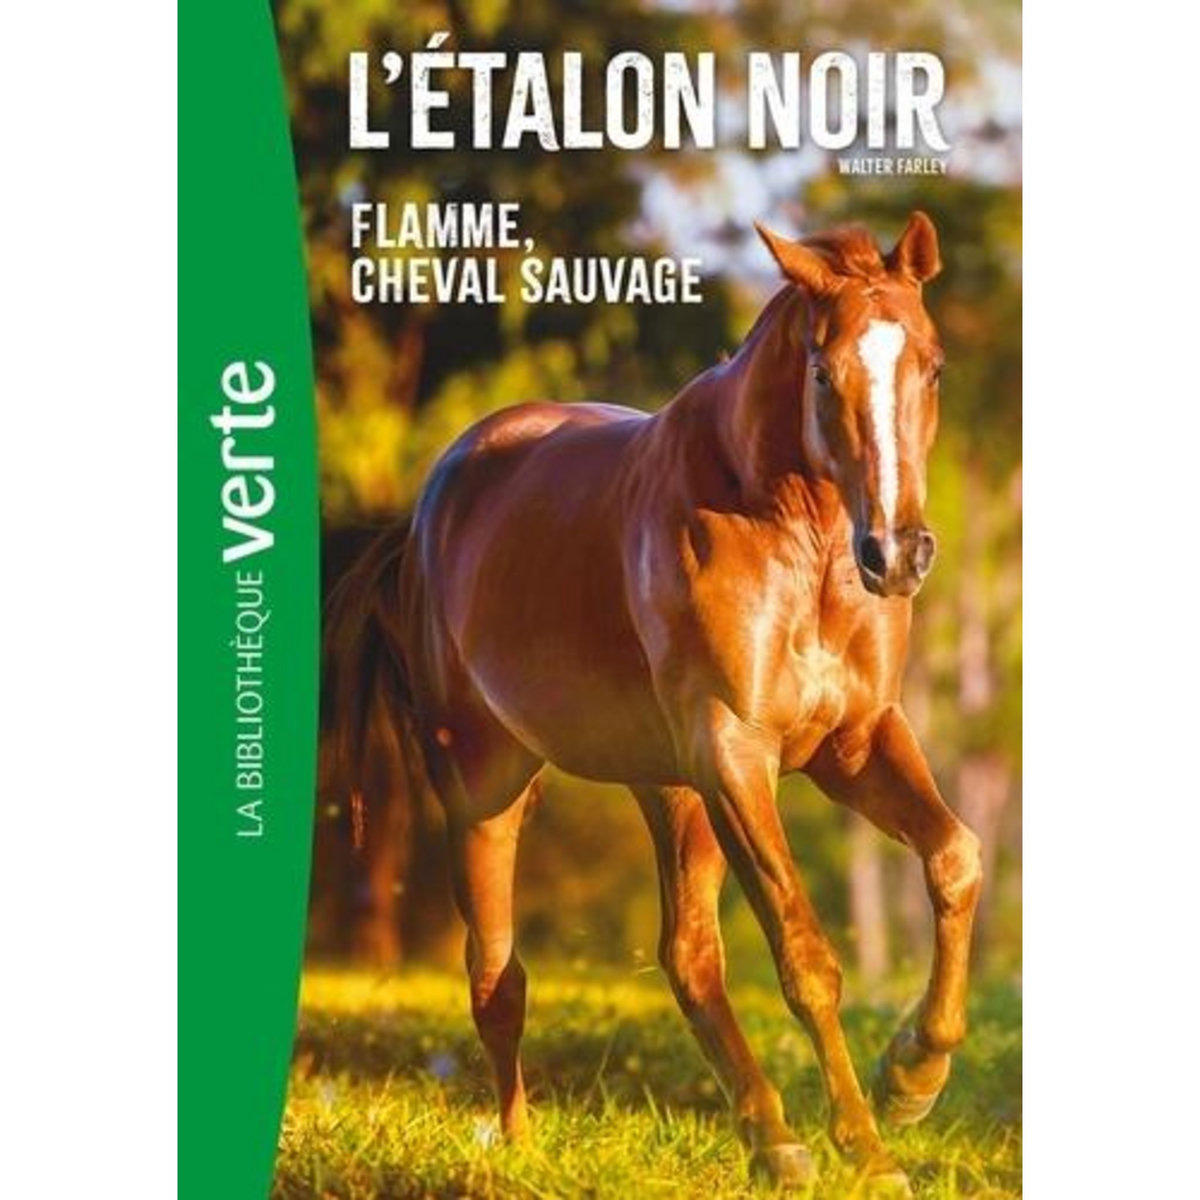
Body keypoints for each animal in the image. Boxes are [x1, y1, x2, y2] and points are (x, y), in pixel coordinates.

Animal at [328, 212, 982, 1195]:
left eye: (933, 365)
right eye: (823, 371)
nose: (897, 554)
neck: (795, 541)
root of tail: (428, 512)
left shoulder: (855, 742)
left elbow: (954, 859)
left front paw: (911, 1076)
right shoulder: (737, 756)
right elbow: (806, 956)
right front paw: (868, 1151)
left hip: (672, 791)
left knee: (688, 956)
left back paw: (771, 1138)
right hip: (486, 789)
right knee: (497, 973)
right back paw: (522, 1145)